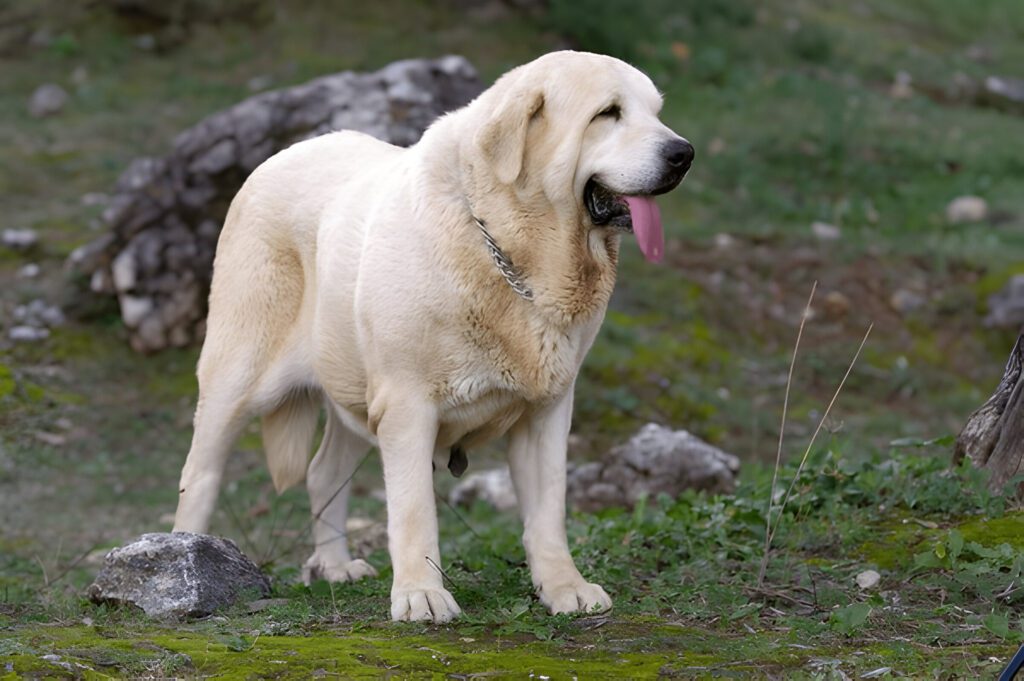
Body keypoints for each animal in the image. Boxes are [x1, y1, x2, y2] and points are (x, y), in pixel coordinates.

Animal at [172, 49, 692, 622]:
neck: (509, 247)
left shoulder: (547, 412)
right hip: (238, 379)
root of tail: (277, 157)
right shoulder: (407, 406)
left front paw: (563, 587)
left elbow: (548, 512)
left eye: (656, 112)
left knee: (323, 472)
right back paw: (186, 559)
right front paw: (422, 594)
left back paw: (333, 566)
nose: (683, 153)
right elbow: (415, 507)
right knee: (200, 474)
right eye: (608, 113)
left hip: (352, 392)